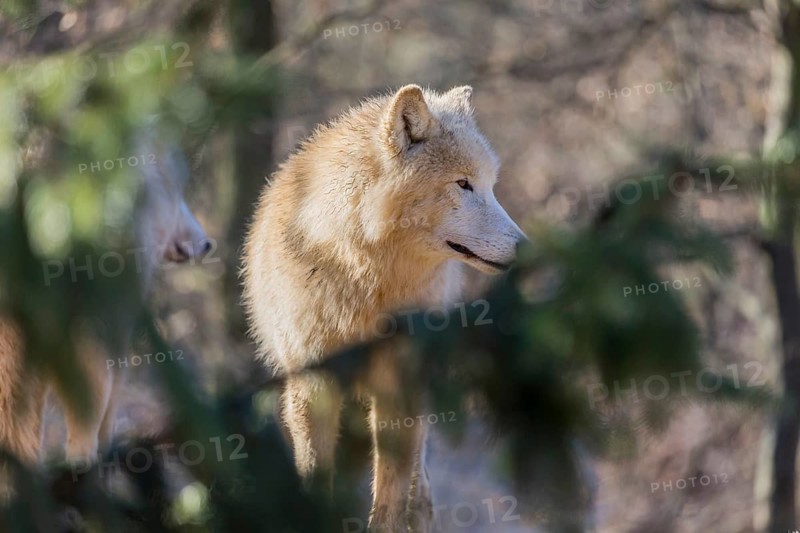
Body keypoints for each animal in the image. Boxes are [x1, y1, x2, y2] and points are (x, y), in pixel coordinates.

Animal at [242, 84, 526, 531]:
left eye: (491, 186)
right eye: (463, 184)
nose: (525, 246)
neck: (365, 280)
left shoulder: (401, 386)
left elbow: (390, 500)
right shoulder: (312, 386)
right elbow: (316, 476)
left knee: (420, 492)